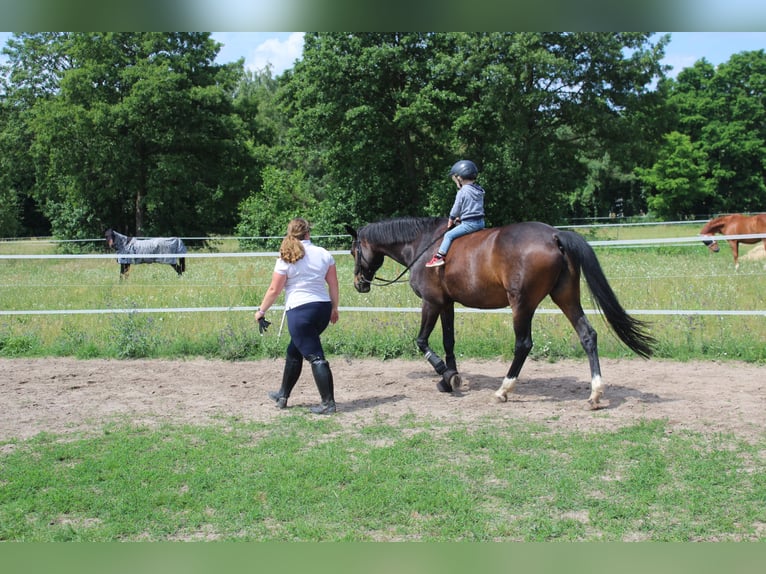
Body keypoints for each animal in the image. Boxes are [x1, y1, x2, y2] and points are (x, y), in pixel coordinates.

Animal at [348, 218, 656, 412]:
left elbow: (422, 341)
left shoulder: (432, 302)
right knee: (587, 335)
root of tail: (554, 235)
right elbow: (449, 342)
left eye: (353, 251)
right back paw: (594, 394)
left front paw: (446, 375)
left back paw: (504, 390)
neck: (423, 245)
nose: (358, 284)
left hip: (522, 304)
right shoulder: (447, 304)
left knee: (523, 344)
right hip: (566, 297)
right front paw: (449, 378)